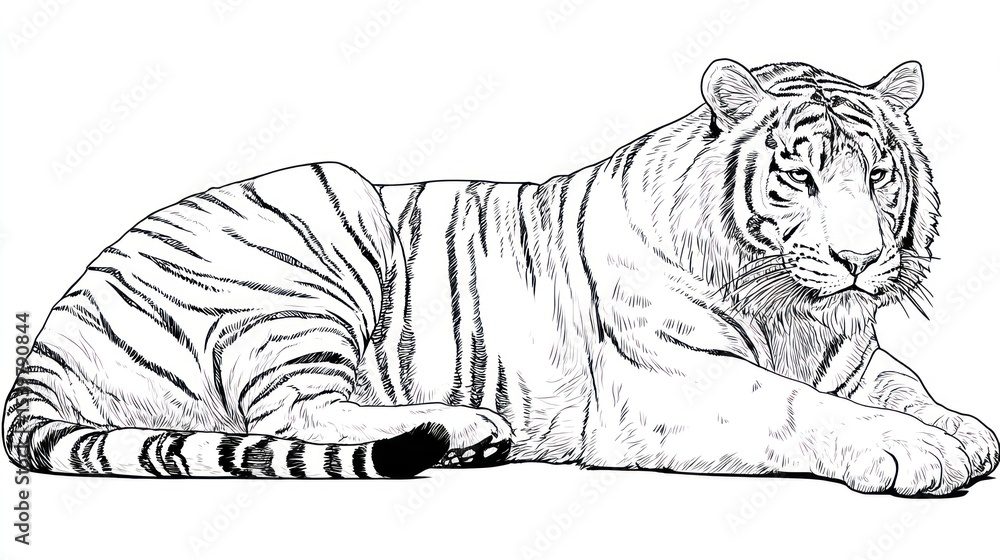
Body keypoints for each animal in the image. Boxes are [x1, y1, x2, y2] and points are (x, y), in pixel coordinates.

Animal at [4, 58, 998, 494]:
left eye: (879, 176)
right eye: (800, 175)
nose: (861, 259)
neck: (798, 309)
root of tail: (51, 332)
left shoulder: (856, 359)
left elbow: (903, 387)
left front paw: (964, 432)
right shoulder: (672, 381)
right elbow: (799, 406)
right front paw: (916, 453)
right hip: (319, 229)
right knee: (296, 415)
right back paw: (467, 427)